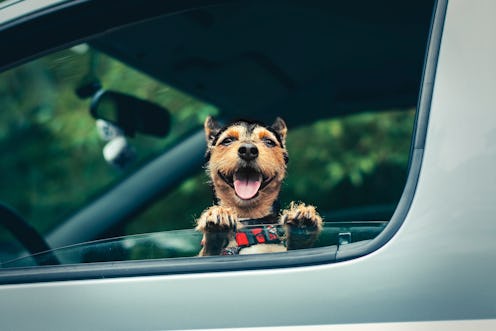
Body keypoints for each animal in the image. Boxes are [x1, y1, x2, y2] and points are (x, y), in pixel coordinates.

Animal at [196, 116, 324, 256]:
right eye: (228, 140)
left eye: (269, 142)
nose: (248, 150)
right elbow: (208, 253)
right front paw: (218, 218)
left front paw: (302, 226)